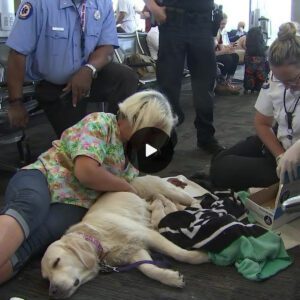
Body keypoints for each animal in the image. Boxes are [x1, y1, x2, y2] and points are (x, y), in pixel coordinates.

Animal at [41, 191, 209, 298]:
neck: (98, 238)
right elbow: (147, 268)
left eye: (56, 262)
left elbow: (179, 253)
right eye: (46, 279)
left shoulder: (146, 234)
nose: (52, 292)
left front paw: (201, 256)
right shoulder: (133, 249)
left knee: (185, 200)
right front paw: (171, 278)